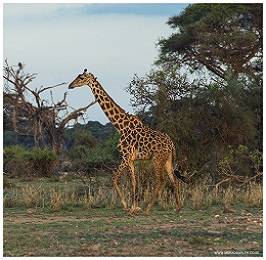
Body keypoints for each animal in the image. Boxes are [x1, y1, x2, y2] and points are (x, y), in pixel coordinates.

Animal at [68, 68, 189, 214]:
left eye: (81, 77)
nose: (70, 85)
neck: (120, 126)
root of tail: (171, 144)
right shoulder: (130, 159)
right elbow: (133, 182)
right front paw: (132, 208)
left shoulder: (126, 156)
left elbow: (114, 179)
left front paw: (127, 207)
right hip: (167, 160)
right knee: (174, 179)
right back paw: (177, 209)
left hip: (157, 159)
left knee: (161, 180)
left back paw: (148, 209)